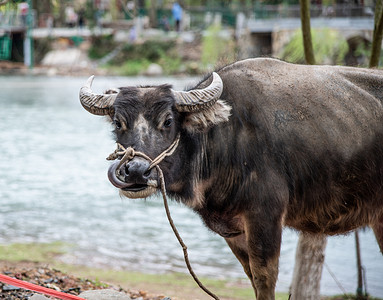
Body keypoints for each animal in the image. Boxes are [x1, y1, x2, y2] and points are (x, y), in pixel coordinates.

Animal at [79, 57, 383, 298]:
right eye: (118, 122)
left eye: (167, 121)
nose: (135, 171)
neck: (226, 140)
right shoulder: (234, 231)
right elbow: (250, 276)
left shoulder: (266, 217)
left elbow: (264, 277)